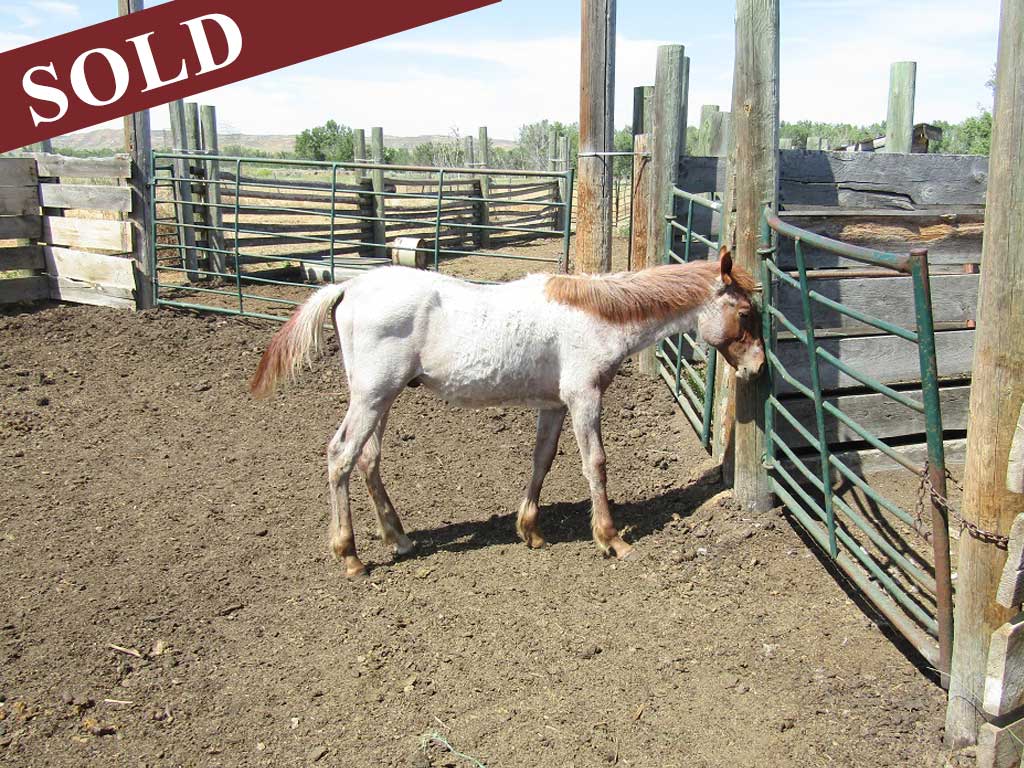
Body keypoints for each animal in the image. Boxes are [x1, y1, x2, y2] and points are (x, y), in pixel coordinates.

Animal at [250, 248, 765, 578]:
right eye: (744, 313)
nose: (758, 368)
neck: (597, 316)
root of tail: (347, 286)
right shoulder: (584, 397)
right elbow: (595, 464)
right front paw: (611, 538)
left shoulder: (555, 404)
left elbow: (543, 460)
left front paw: (530, 530)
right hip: (372, 395)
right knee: (340, 456)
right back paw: (351, 557)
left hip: (381, 398)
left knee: (367, 459)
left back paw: (399, 538)